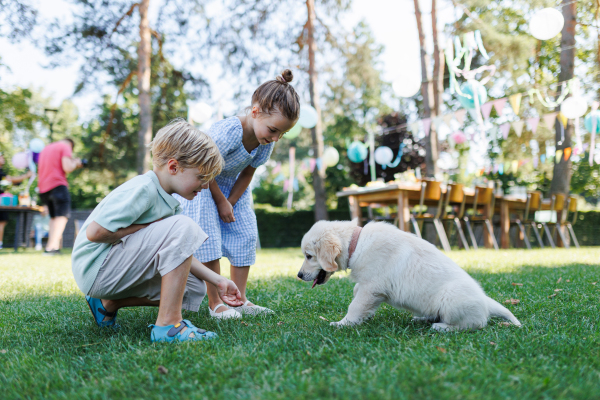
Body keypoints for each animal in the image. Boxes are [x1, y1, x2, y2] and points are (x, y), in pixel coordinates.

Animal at [300, 219, 520, 332]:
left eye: (309, 256)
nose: (299, 275)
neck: (357, 242)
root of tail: (485, 301)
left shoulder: (372, 287)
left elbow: (355, 305)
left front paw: (343, 324)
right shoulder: (369, 286)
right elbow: (357, 293)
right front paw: (365, 316)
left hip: (451, 299)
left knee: (475, 324)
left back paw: (441, 327)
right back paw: (422, 319)